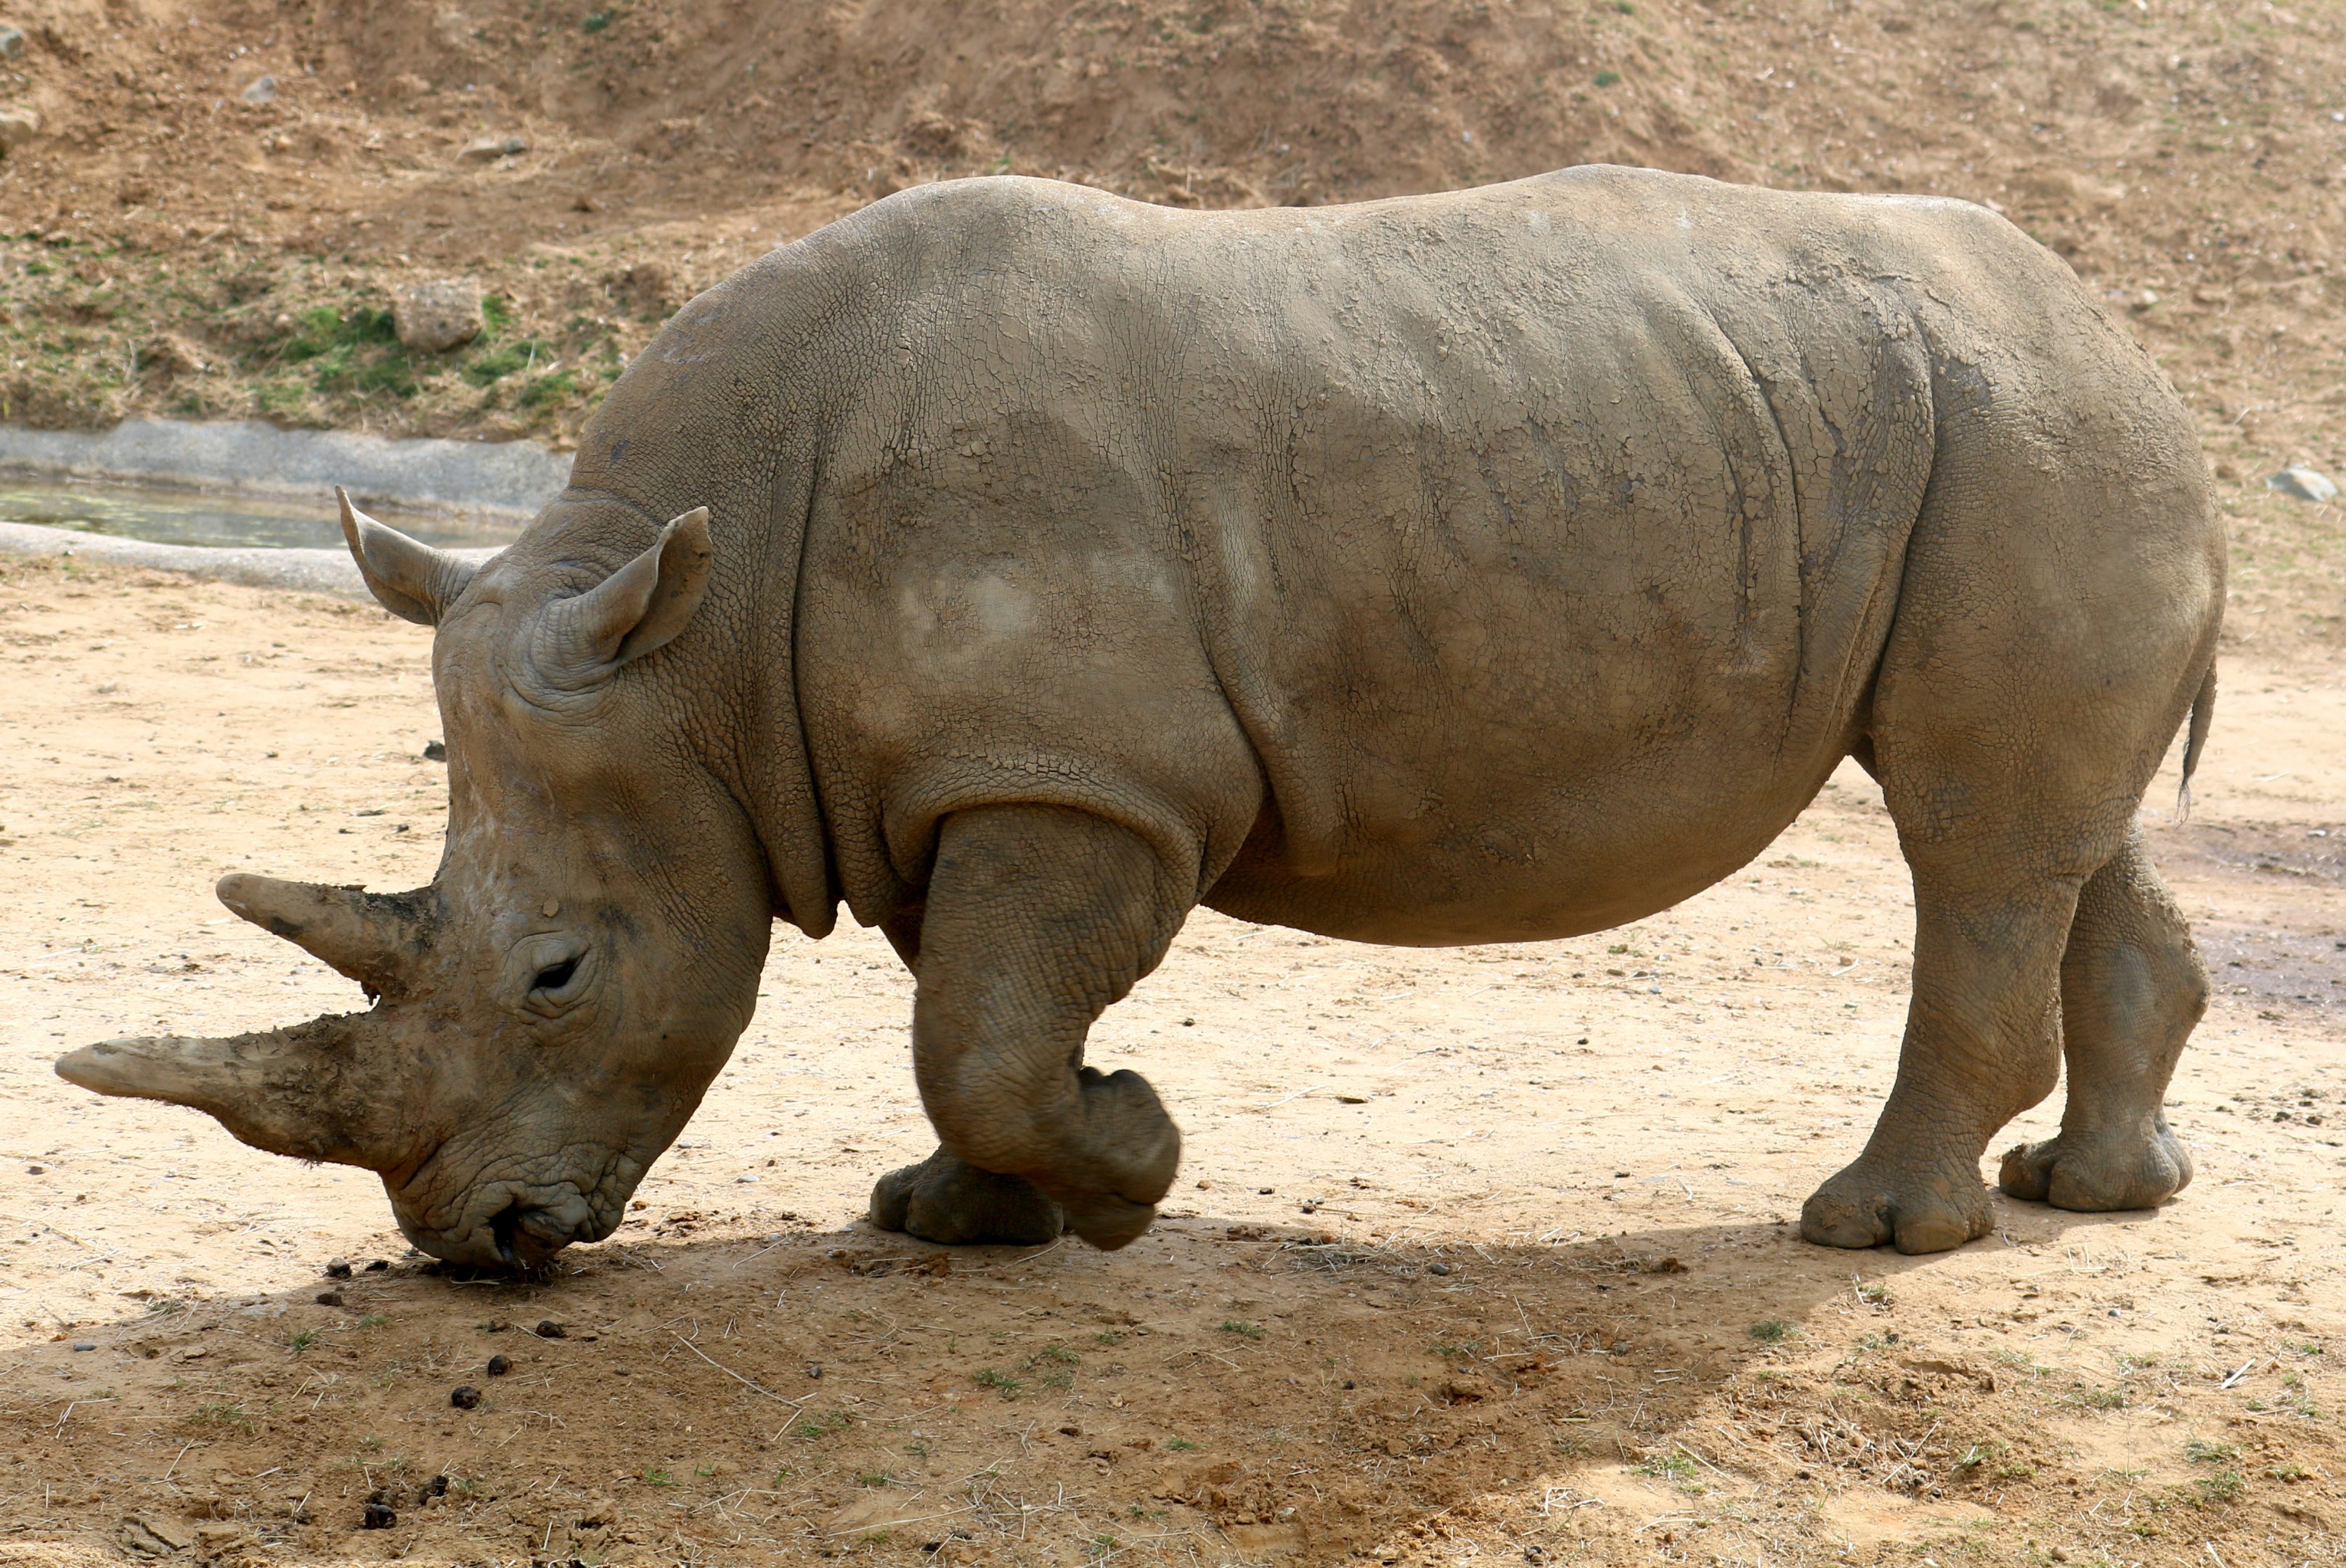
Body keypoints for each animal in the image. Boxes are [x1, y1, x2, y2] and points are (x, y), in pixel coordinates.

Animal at [58, 167, 2222, 1267]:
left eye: (561, 976)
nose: (475, 1239)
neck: (694, 638)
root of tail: (2113, 328)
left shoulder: (1087, 775)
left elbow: (987, 1033)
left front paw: (1131, 1167)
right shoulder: (933, 770)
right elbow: (967, 1014)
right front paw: (953, 1222)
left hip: (2024, 442)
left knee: (1967, 832)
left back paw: (1874, 1232)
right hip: (2010, 446)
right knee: (2064, 829)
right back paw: (2089, 1198)